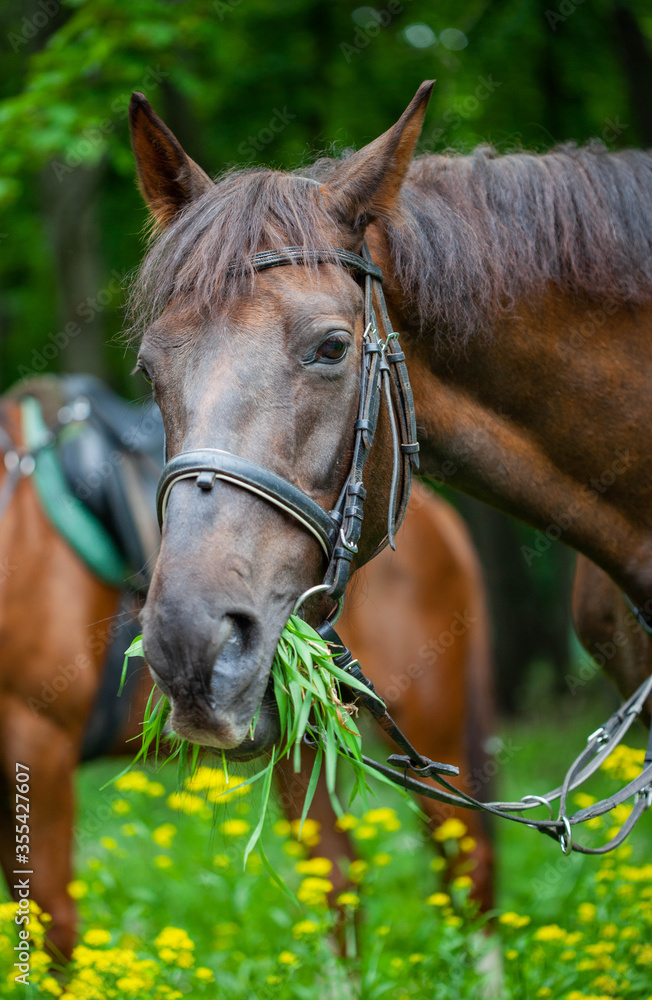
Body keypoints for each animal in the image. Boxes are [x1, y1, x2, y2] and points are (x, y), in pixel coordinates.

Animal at [0, 379, 493, 957]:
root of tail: (436, 517)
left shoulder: (38, 742)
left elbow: (51, 922)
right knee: (337, 877)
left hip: (429, 729)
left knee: (467, 862)